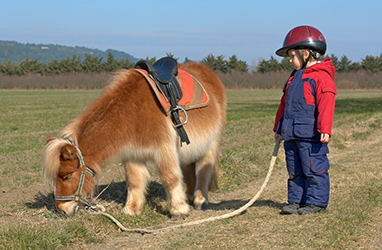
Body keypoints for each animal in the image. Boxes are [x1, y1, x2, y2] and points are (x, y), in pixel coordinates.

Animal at [41, 62, 227, 219]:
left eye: (67, 176)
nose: (62, 210)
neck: (132, 112)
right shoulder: (133, 155)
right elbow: (134, 181)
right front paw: (131, 210)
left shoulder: (164, 149)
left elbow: (170, 177)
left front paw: (178, 210)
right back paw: (188, 195)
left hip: (210, 143)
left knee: (203, 170)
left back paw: (200, 200)